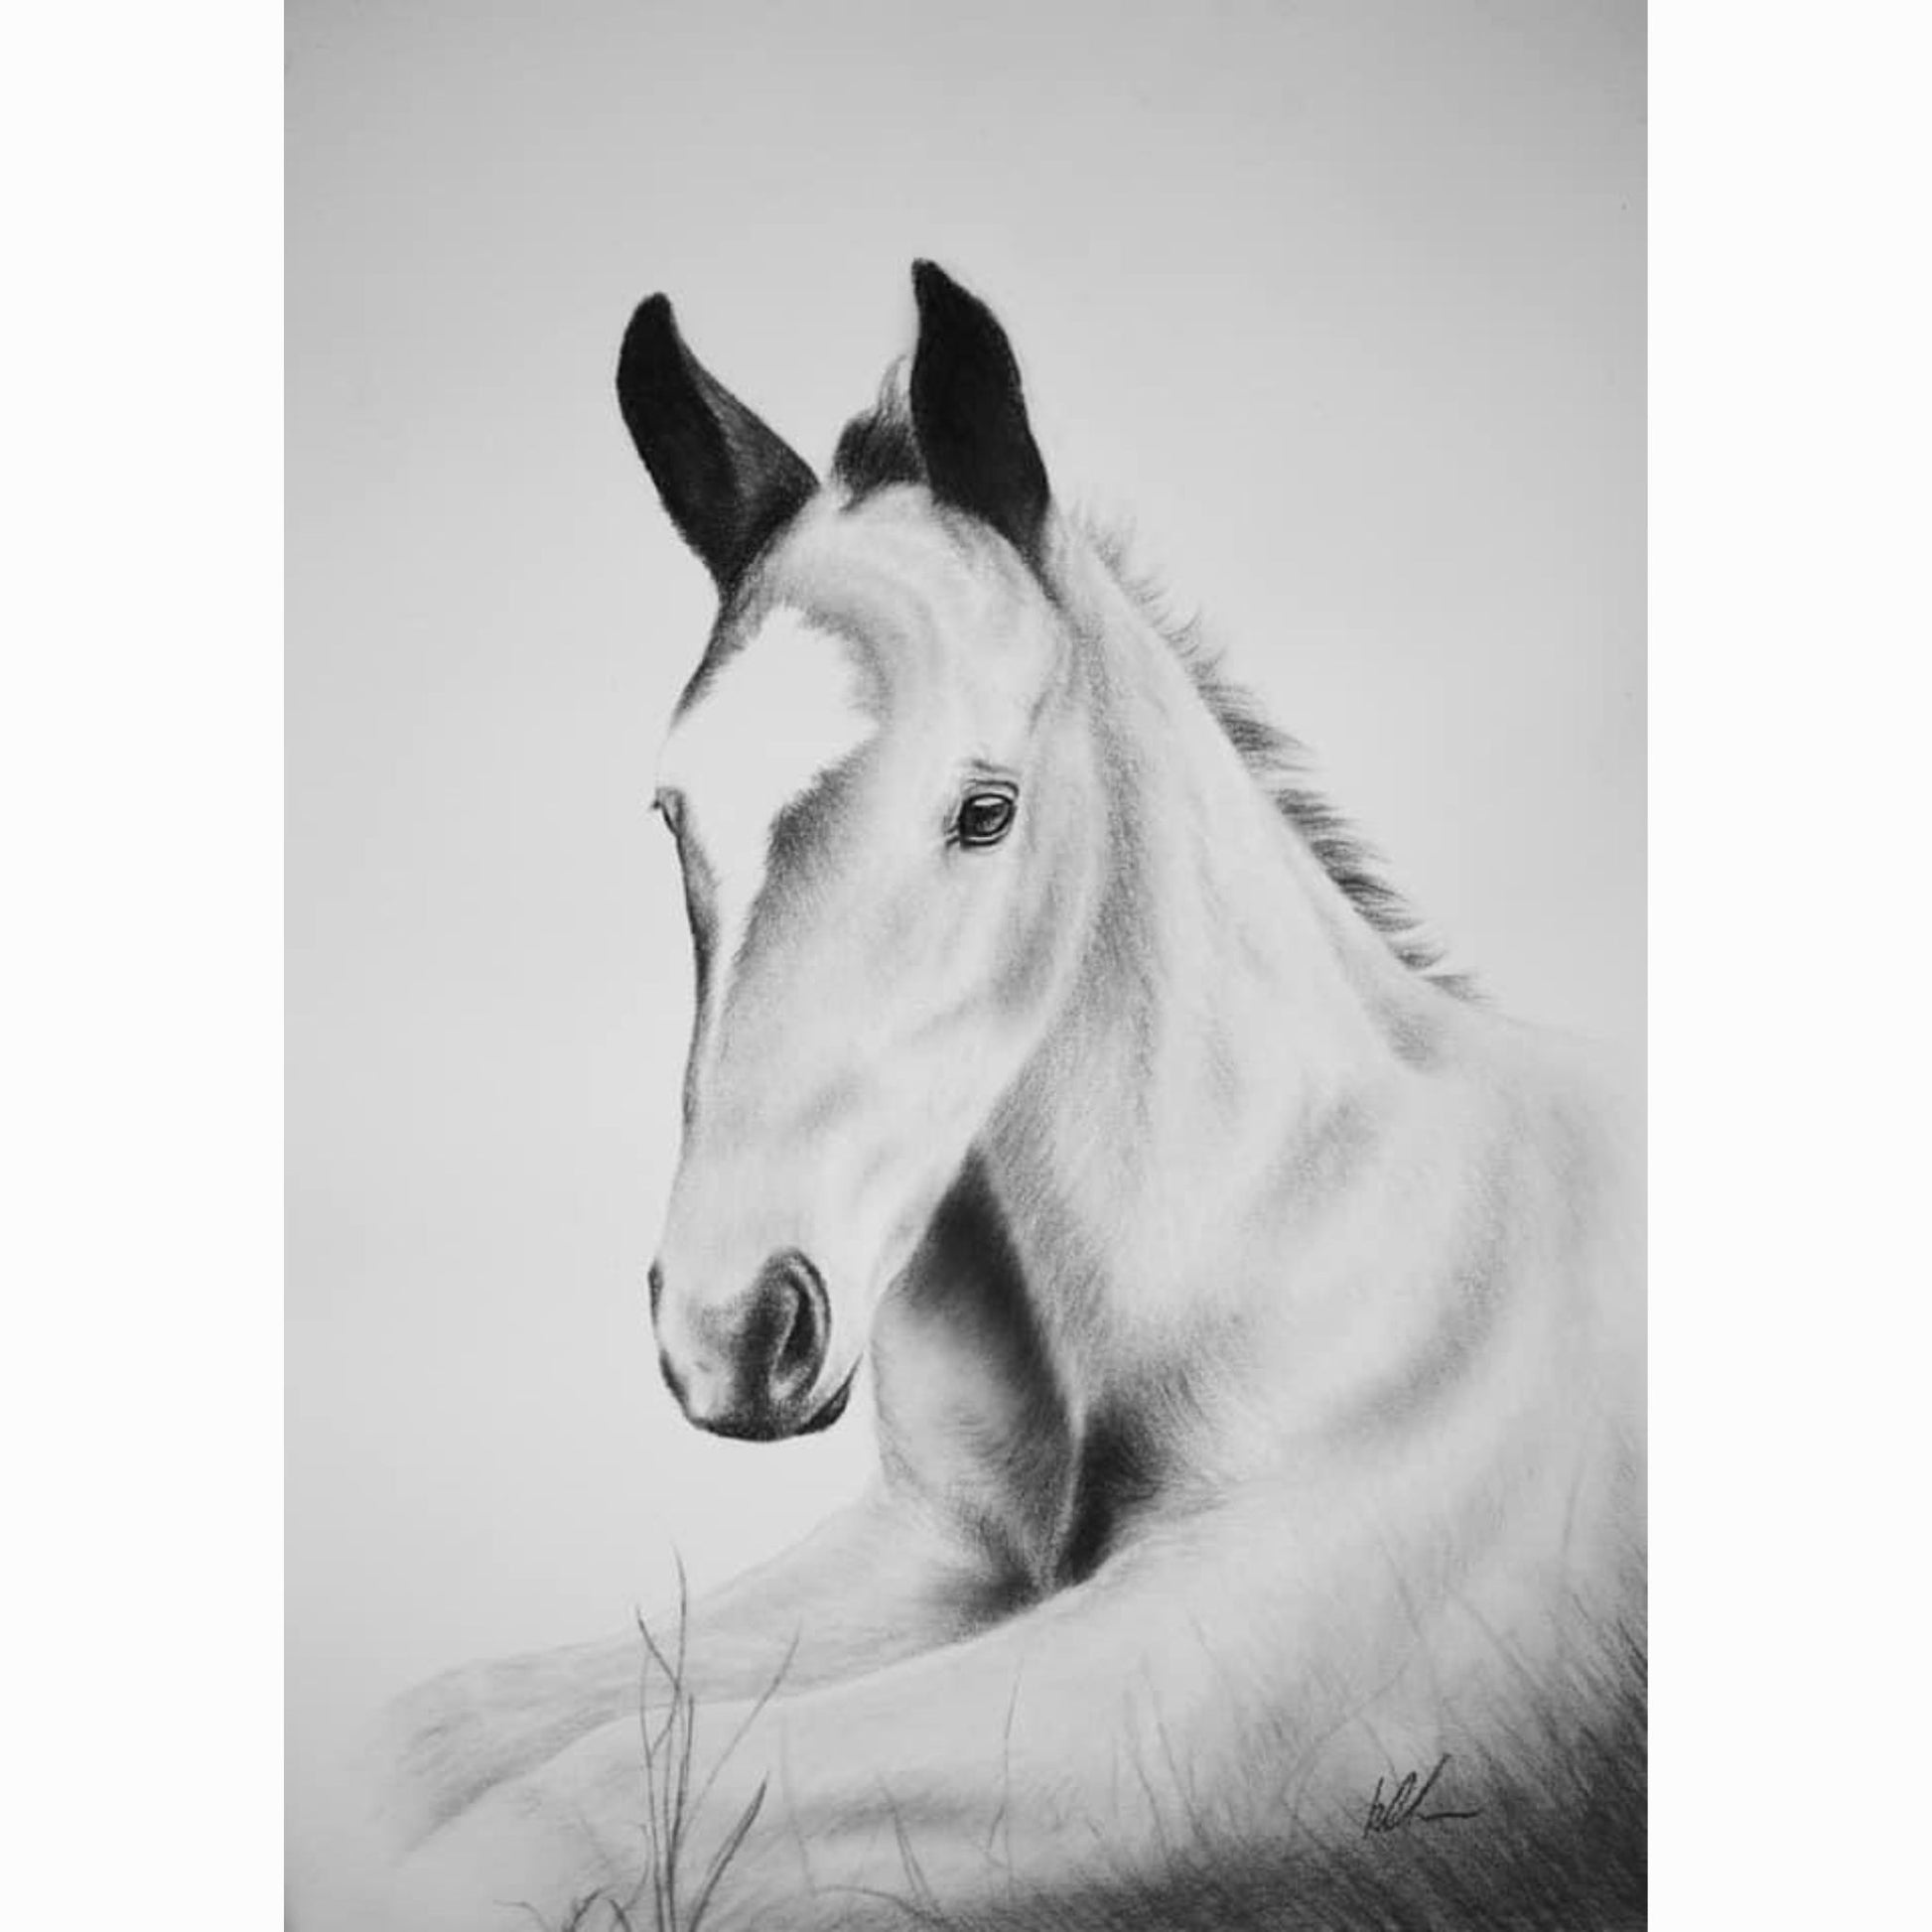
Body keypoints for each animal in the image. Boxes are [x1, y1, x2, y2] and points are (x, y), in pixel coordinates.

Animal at [362, 261, 1644, 1931]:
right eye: (669, 807)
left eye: (985, 809)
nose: (727, 1331)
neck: (1291, 1224)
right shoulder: (928, 1554)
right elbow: (437, 1735)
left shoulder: (1217, 1690)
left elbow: (552, 1815)